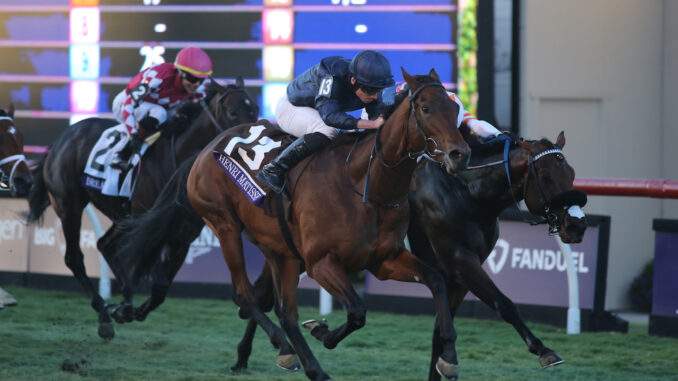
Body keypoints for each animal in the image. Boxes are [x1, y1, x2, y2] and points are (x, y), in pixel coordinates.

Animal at [23, 79, 258, 338]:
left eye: (255, 109)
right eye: (233, 112)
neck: (178, 158)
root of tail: (62, 138)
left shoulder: (181, 237)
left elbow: (160, 290)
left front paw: (129, 310)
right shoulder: (149, 224)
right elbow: (159, 282)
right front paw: (122, 310)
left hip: (121, 216)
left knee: (106, 245)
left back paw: (123, 301)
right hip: (69, 205)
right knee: (75, 257)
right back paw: (103, 314)